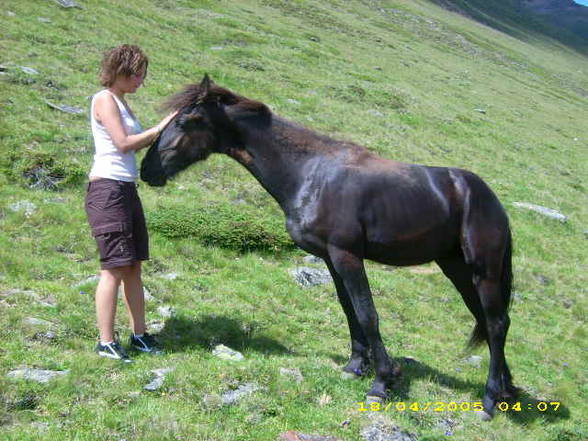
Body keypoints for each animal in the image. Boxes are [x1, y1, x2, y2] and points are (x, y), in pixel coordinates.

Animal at [140, 74, 516, 418]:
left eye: (186, 121)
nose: (147, 170)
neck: (310, 172)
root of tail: (491, 200)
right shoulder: (330, 259)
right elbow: (348, 310)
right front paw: (355, 367)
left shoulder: (347, 255)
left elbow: (367, 314)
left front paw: (382, 381)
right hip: (456, 268)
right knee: (490, 320)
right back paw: (507, 389)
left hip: (483, 271)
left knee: (496, 324)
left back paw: (489, 401)